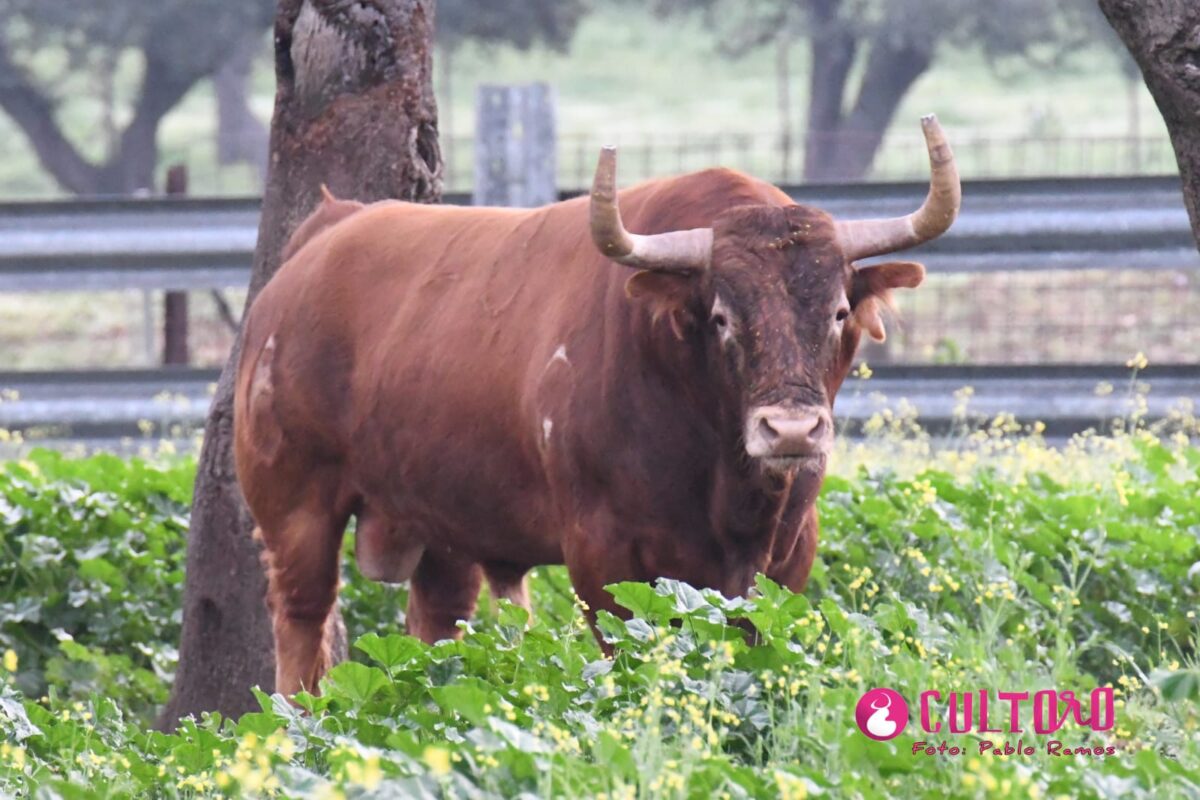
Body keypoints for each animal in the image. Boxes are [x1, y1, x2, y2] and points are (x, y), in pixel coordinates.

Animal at [236, 113, 955, 695]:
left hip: (442, 521)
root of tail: (324, 235)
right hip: (294, 505)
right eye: (721, 316)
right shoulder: (604, 557)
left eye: (838, 312)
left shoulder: (786, 557)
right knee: (302, 616)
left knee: (438, 616)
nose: (791, 430)